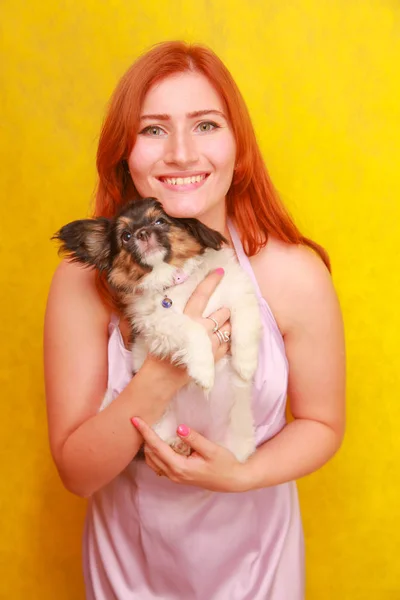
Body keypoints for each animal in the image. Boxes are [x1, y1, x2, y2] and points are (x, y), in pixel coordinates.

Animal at [55, 197, 262, 460]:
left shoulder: (235, 290)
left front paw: (245, 366)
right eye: (126, 236)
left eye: (160, 221)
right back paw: (178, 444)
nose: (142, 233)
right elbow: (194, 329)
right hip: (160, 426)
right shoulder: (159, 324)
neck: (173, 280)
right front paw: (204, 371)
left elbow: (244, 320)